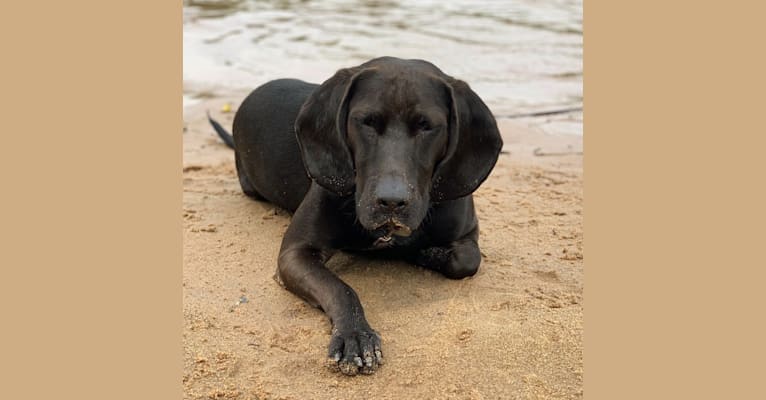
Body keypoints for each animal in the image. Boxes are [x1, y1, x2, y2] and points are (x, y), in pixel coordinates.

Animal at [210, 56, 504, 376]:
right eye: (366, 122)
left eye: (427, 126)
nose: (391, 201)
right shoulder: (295, 253)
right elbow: (340, 289)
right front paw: (355, 335)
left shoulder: (467, 233)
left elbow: (467, 260)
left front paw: (425, 253)